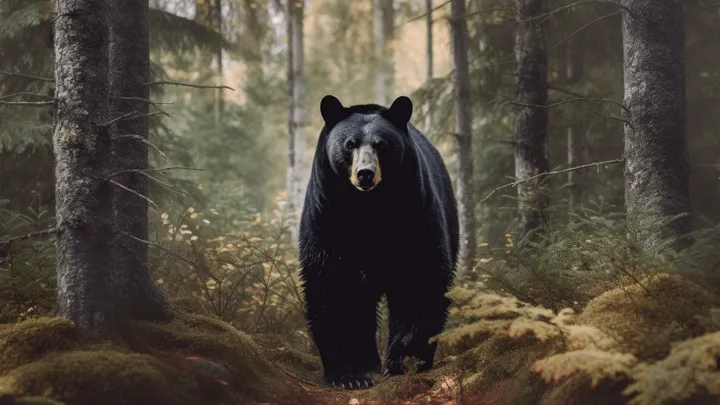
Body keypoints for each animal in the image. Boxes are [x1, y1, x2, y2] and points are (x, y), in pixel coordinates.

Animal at [297, 94, 460, 390]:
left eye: (381, 144)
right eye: (350, 144)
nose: (365, 173)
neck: (369, 209)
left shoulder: (415, 212)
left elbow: (419, 280)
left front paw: (402, 363)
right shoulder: (327, 217)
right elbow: (333, 287)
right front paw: (349, 376)